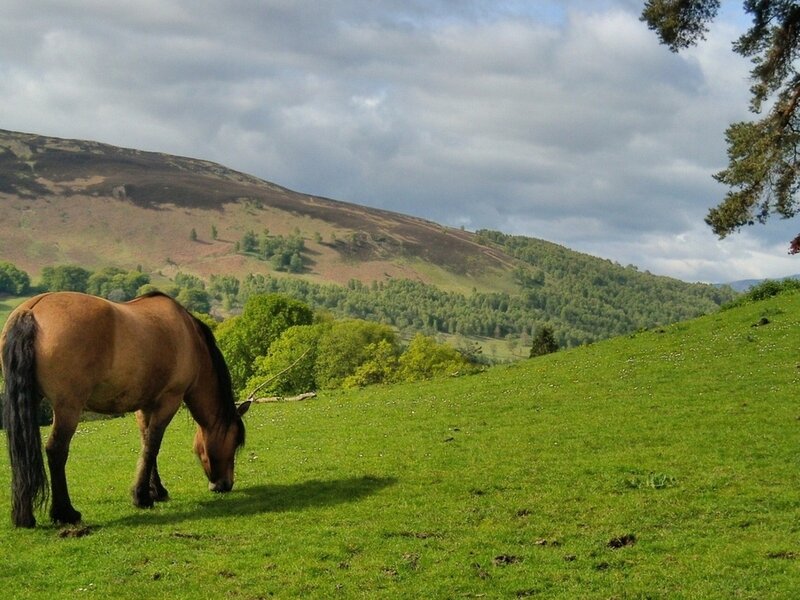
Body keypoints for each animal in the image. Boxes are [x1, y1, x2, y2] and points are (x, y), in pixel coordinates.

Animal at [0, 291, 248, 528]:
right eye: (235, 442)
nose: (225, 484)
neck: (189, 336)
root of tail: (32, 310)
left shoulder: (146, 405)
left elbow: (147, 444)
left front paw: (155, 491)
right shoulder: (169, 401)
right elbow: (153, 446)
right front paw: (142, 497)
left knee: (22, 451)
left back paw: (24, 516)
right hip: (67, 408)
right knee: (56, 451)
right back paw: (66, 513)